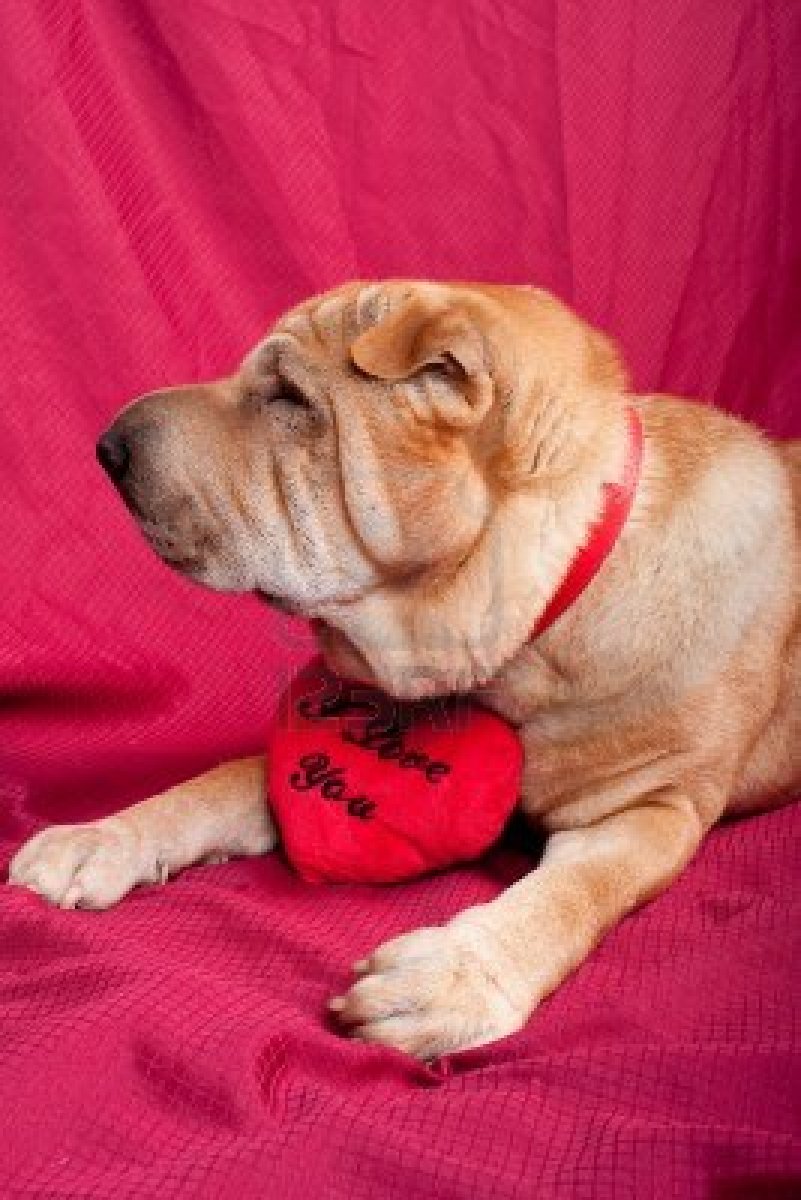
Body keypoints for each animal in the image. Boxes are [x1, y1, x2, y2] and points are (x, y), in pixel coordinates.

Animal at [10, 280, 801, 1060]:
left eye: (289, 398)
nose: (108, 447)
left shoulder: (649, 808)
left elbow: (572, 891)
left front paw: (456, 975)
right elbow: (217, 783)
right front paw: (101, 838)